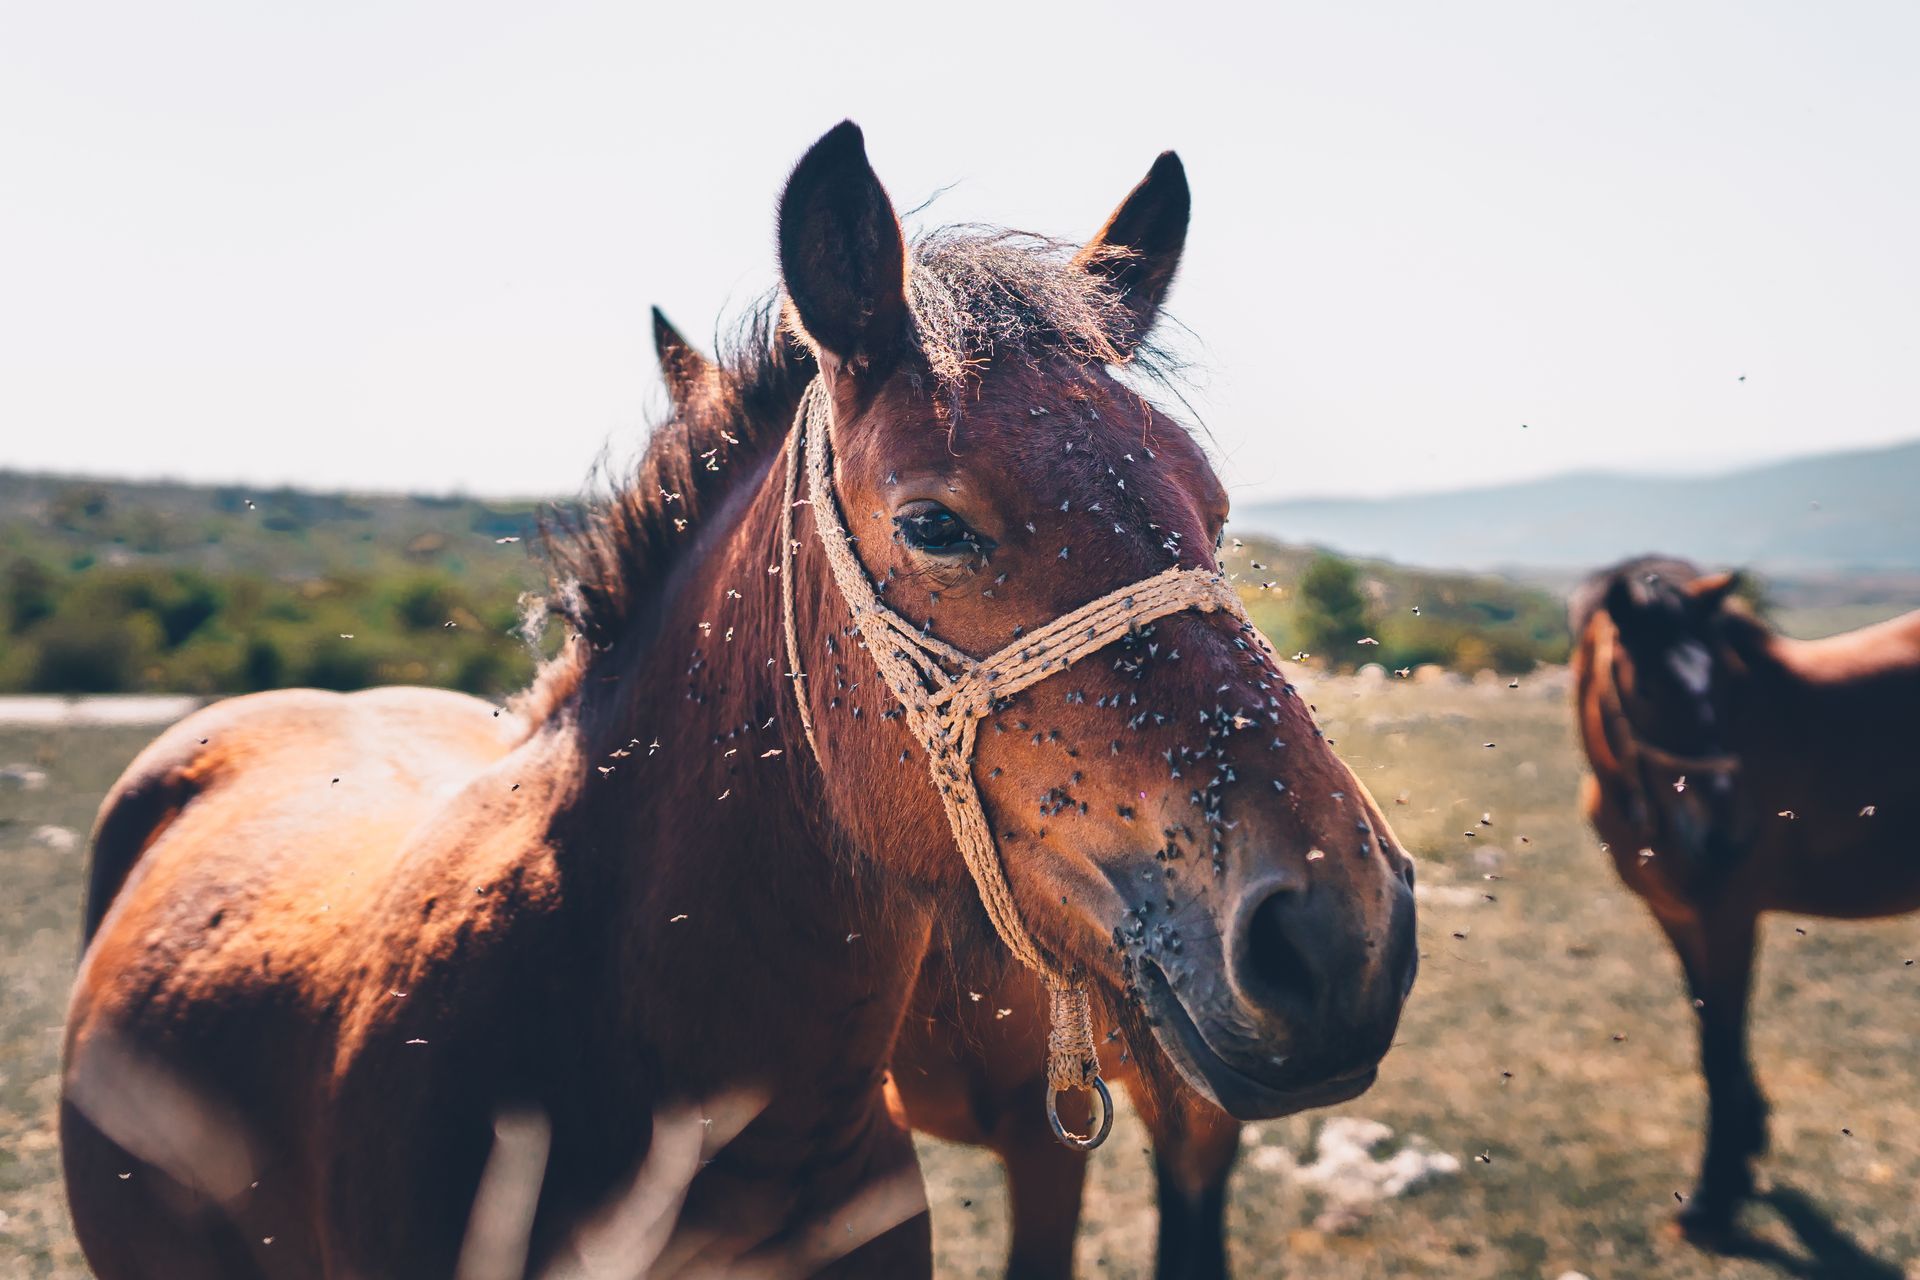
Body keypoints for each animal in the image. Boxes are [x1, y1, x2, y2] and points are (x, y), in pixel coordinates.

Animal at [1570, 556, 1920, 1242]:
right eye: (1646, 688)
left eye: (1715, 688)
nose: (1729, 833)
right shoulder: (1677, 915)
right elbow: (1711, 1027)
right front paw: (1746, 1148)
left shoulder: (1726, 915)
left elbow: (1721, 1044)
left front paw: (1714, 1194)